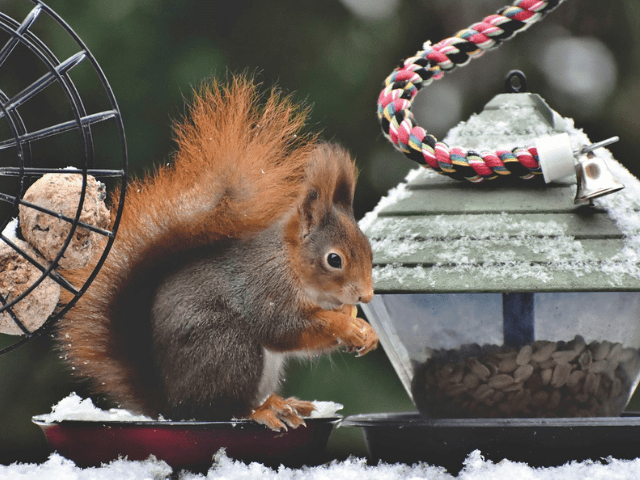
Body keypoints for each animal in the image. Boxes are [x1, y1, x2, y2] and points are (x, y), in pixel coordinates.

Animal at [57, 78, 378, 432]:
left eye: (369, 251)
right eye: (334, 260)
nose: (366, 296)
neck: (291, 265)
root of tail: (171, 406)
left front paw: (364, 329)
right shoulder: (266, 290)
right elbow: (284, 329)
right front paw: (346, 325)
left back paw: (284, 403)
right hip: (230, 348)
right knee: (223, 408)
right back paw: (262, 411)